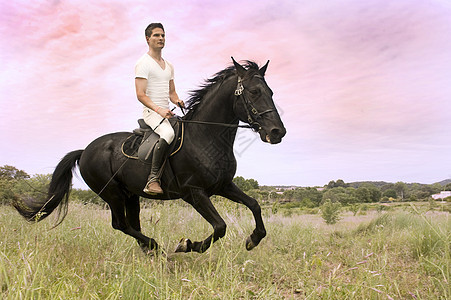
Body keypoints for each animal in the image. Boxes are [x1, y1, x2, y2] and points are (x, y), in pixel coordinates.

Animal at [14, 58, 286, 253]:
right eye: (253, 92)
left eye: (271, 92)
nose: (277, 132)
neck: (206, 137)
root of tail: (86, 150)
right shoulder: (194, 193)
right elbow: (220, 227)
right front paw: (187, 245)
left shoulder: (223, 185)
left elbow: (255, 205)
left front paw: (253, 240)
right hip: (112, 193)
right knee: (121, 225)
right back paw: (155, 245)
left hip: (131, 194)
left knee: (132, 225)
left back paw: (149, 249)